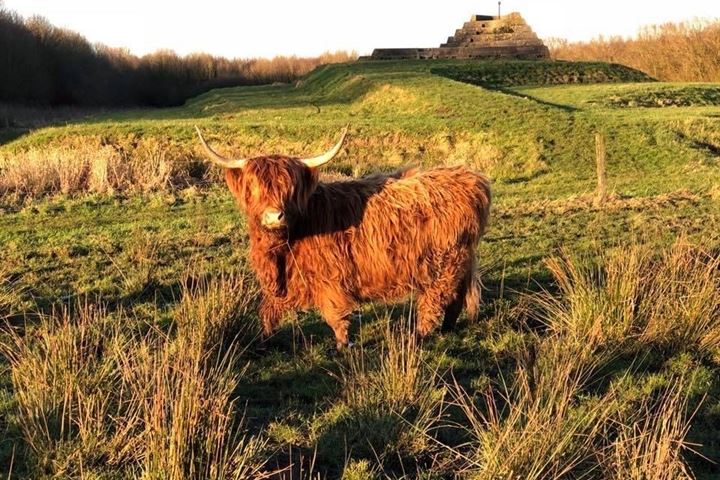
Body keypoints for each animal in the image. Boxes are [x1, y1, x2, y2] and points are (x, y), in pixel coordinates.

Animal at [194, 126, 492, 348]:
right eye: (254, 188)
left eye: (289, 188)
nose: (273, 217)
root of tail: (471, 178)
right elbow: (268, 311)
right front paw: (264, 340)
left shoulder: (330, 279)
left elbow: (336, 315)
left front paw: (341, 346)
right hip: (459, 261)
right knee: (457, 298)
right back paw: (447, 328)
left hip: (444, 263)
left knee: (436, 299)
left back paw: (420, 334)